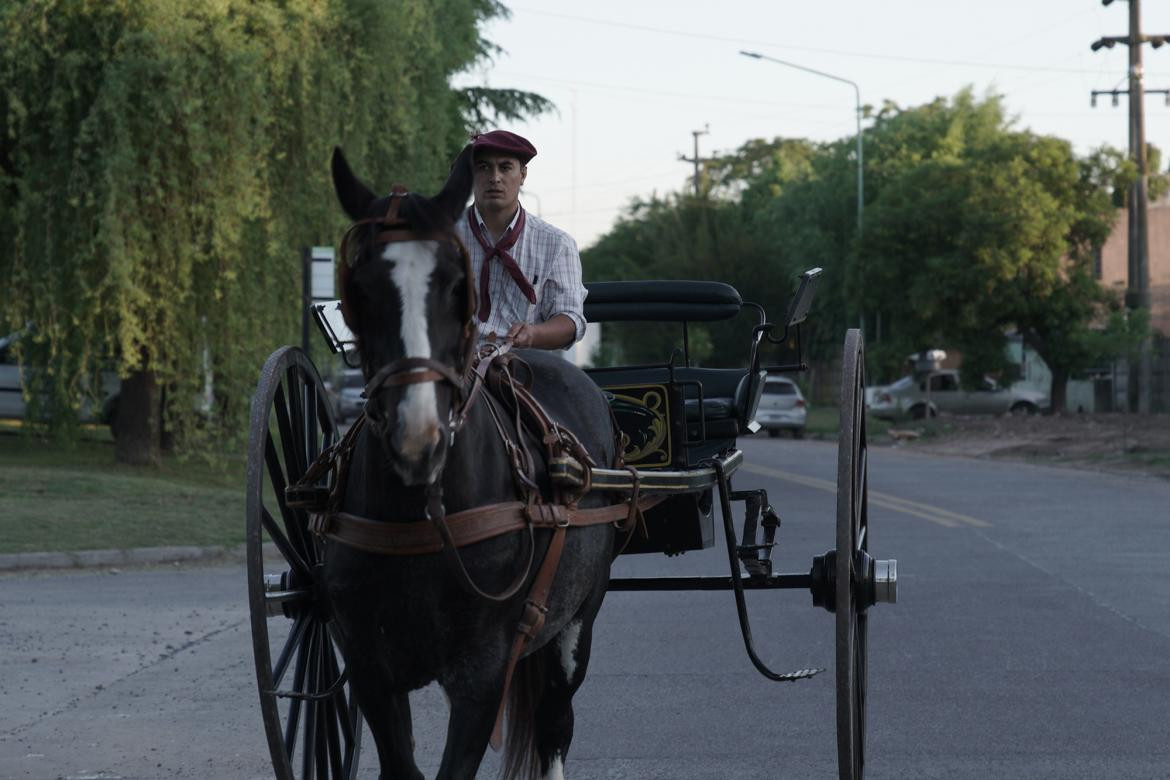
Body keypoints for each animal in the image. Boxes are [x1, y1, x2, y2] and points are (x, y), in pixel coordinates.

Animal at [320, 147, 613, 780]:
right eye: (360, 289)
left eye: (458, 286)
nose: (418, 434)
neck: (422, 516)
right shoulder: (370, 669)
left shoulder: (483, 675)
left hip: (577, 622)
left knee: (555, 724)